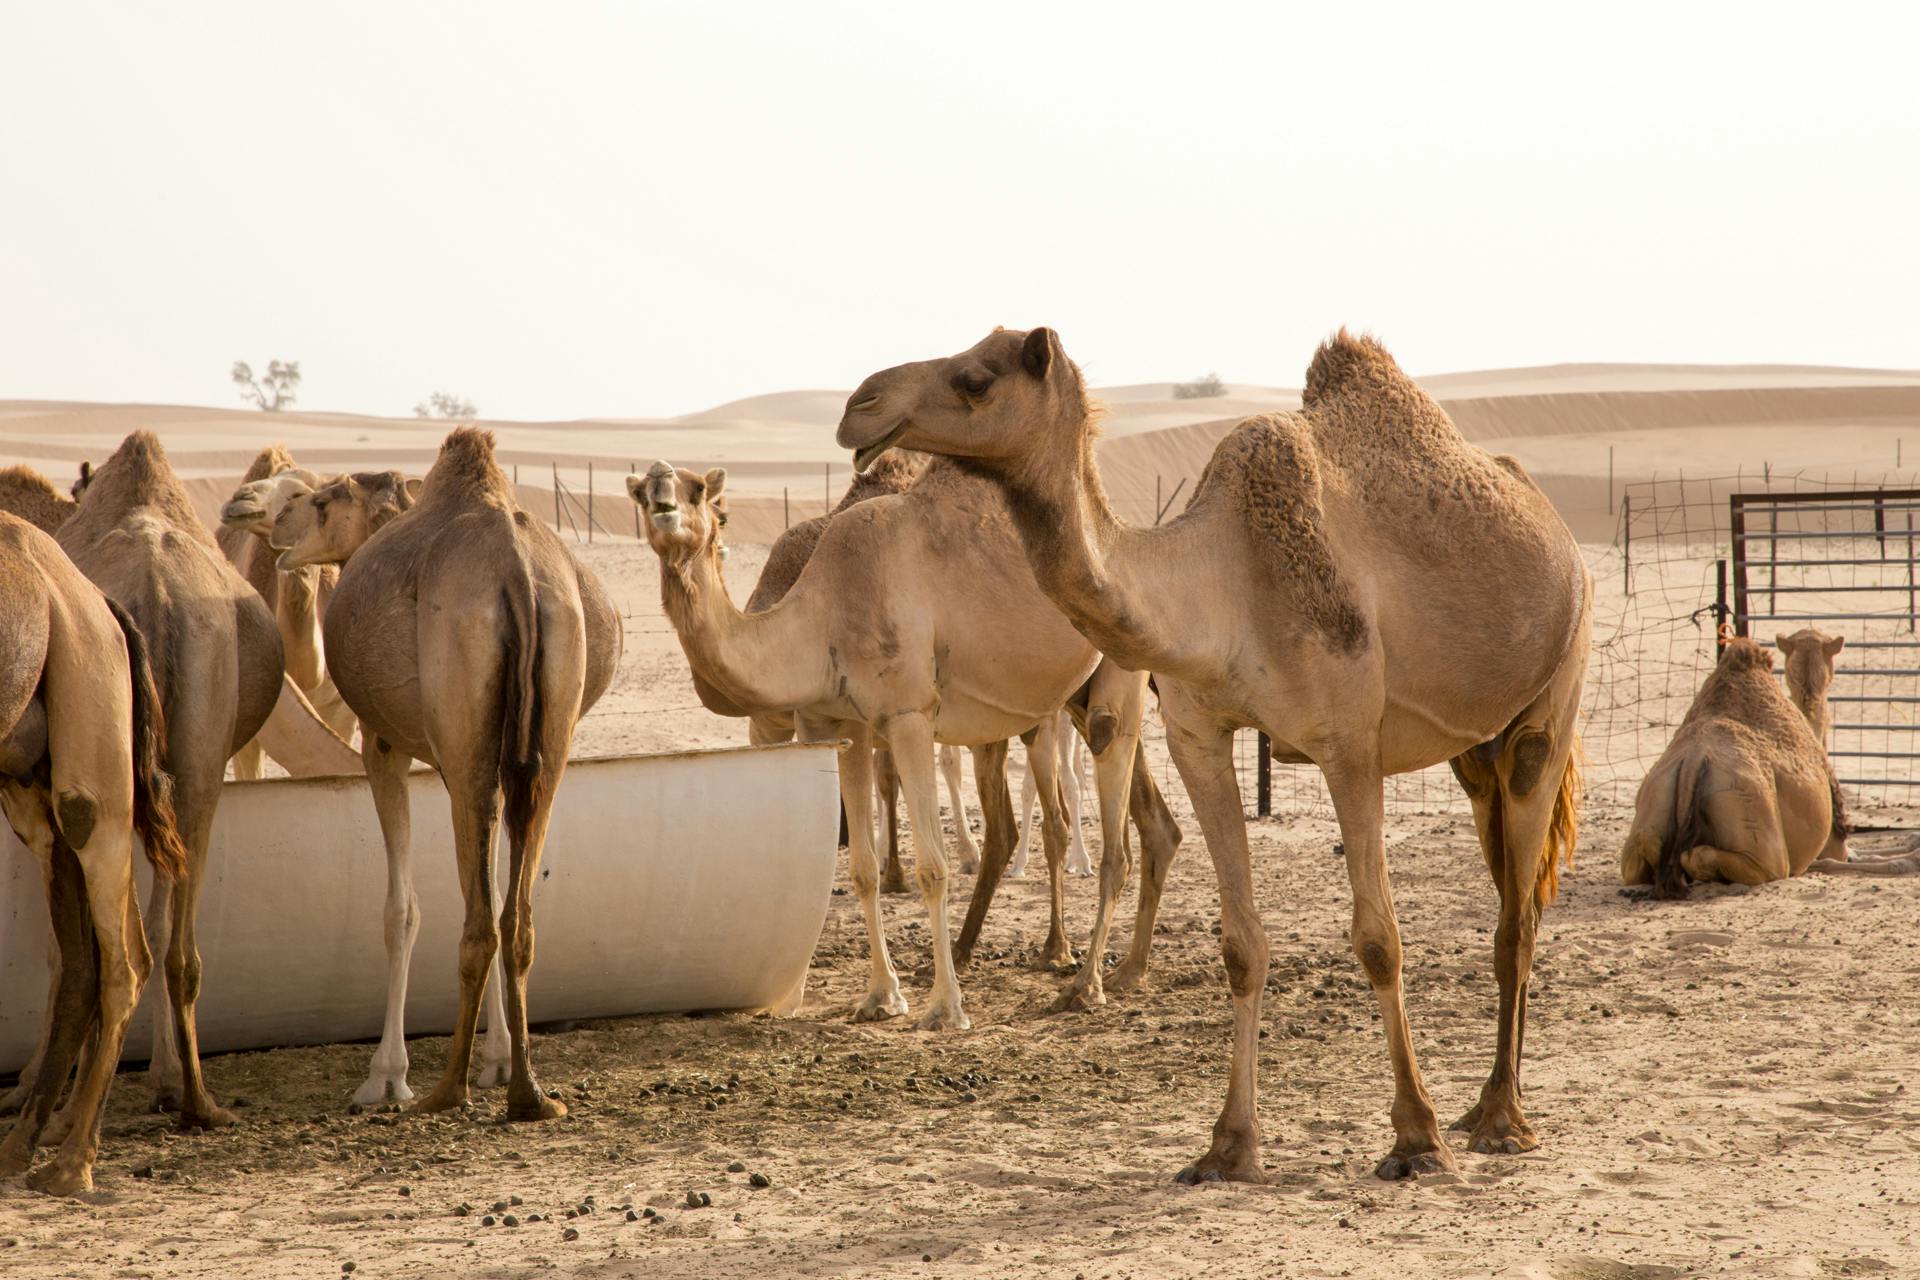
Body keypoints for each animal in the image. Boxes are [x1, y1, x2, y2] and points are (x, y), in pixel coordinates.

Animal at [0, 512, 188, 1195]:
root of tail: (99, 603)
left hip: (91, 755)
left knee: (125, 958)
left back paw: (72, 1163)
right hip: (31, 787)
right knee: (84, 960)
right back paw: (21, 1149)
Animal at [271, 430, 622, 1115]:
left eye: (323, 500)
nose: (275, 522)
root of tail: (514, 573)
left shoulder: (384, 743)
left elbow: (400, 909)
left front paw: (385, 1077)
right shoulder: (493, 762)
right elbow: (485, 884)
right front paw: (499, 1059)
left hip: (465, 742)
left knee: (480, 918)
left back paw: (445, 1090)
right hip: (542, 745)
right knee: (514, 917)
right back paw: (528, 1094)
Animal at [631, 457, 1181, 1027]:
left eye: (700, 492)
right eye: (639, 492)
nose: (664, 502)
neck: (821, 614)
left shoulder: (908, 714)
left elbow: (932, 869)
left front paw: (945, 1007)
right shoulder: (833, 726)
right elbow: (861, 869)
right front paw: (880, 995)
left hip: (1115, 677)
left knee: (1114, 826)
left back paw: (1083, 985)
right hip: (1073, 695)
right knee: (1149, 822)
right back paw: (1127, 970)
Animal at [838, 326, 1590, 1181]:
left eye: (974, 379)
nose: (859, 405)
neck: (1224, 587)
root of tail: (1559, 533)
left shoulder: (1348, 745)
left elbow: (1378, 939)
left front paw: (1414, 1137)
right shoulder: (1197, 735)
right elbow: (1240, 944)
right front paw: (1229, 1145)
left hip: (1554, 693)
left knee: (1518, 915)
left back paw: (1500, 1119)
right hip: (1476, 753)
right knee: (1510, 885)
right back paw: (1484, 1105)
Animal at [1621, 632, 1851, 896]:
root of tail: (1693, 760)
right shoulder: (1833, 845)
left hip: (1656, 791)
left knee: (1648, 843)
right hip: (1750, 804)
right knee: (1744, 862)